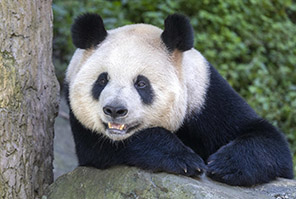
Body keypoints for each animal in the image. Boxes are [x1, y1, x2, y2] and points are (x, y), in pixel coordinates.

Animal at [63, 13, 292, 186]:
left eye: (141, 83)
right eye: (102, 80)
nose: (115, 110)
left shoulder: (206, 94)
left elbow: (268, 140)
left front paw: (224, 165)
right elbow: (105, 147)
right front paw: (185, 159)